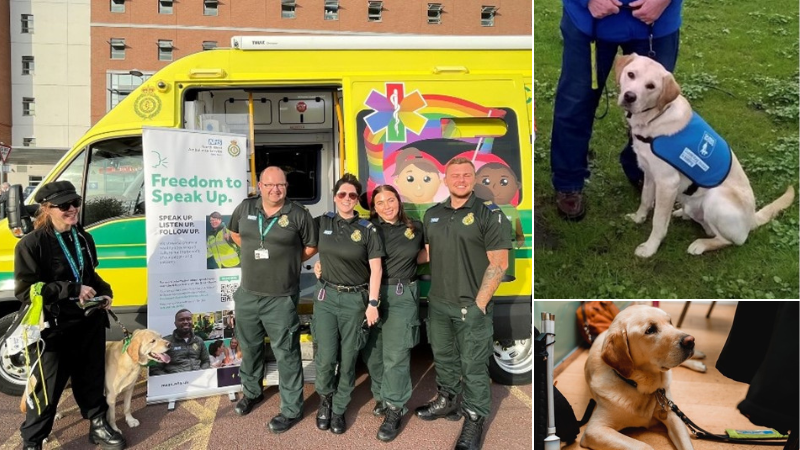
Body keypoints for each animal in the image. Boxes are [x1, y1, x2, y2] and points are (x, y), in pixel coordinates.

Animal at [580, 306, 692, 450]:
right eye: (650, 330)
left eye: (670, 321)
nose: (691, 341)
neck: (637, 385)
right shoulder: (595, 430)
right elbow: (644, 446)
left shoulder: (675, 416)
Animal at [612, 53, 792, 256]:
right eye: (631, 74)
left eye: (651, 86)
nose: (629, 96)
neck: (654, 118)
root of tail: (752, 219)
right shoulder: (649, 174)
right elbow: (645, 200)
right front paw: (637, 218)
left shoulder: (667, 183)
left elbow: (658, 221)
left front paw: (650, 248)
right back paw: (683, 213)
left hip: (716, 200)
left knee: (729, 240)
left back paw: (701, 244)